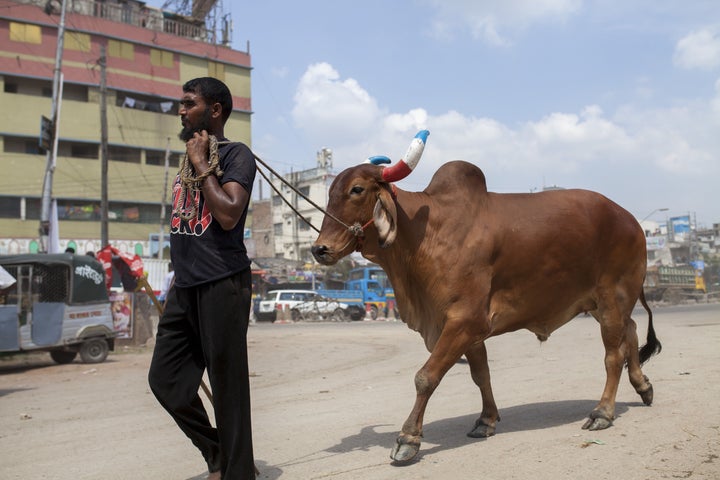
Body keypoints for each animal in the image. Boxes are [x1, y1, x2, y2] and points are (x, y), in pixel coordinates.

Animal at [312, 133, 660, 464]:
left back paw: (603, 412)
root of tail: (631, 220)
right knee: (630, 332)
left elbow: (426, 377)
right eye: (329, 193)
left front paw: (408, 439)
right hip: (603, 303)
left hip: (613, 296)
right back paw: (643, 386)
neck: (424, 236)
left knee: (613, 354)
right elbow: (481, 375)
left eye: (357, 189)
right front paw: (486, 420)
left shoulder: (464, 320)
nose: (319, 249)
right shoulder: (465, 328)